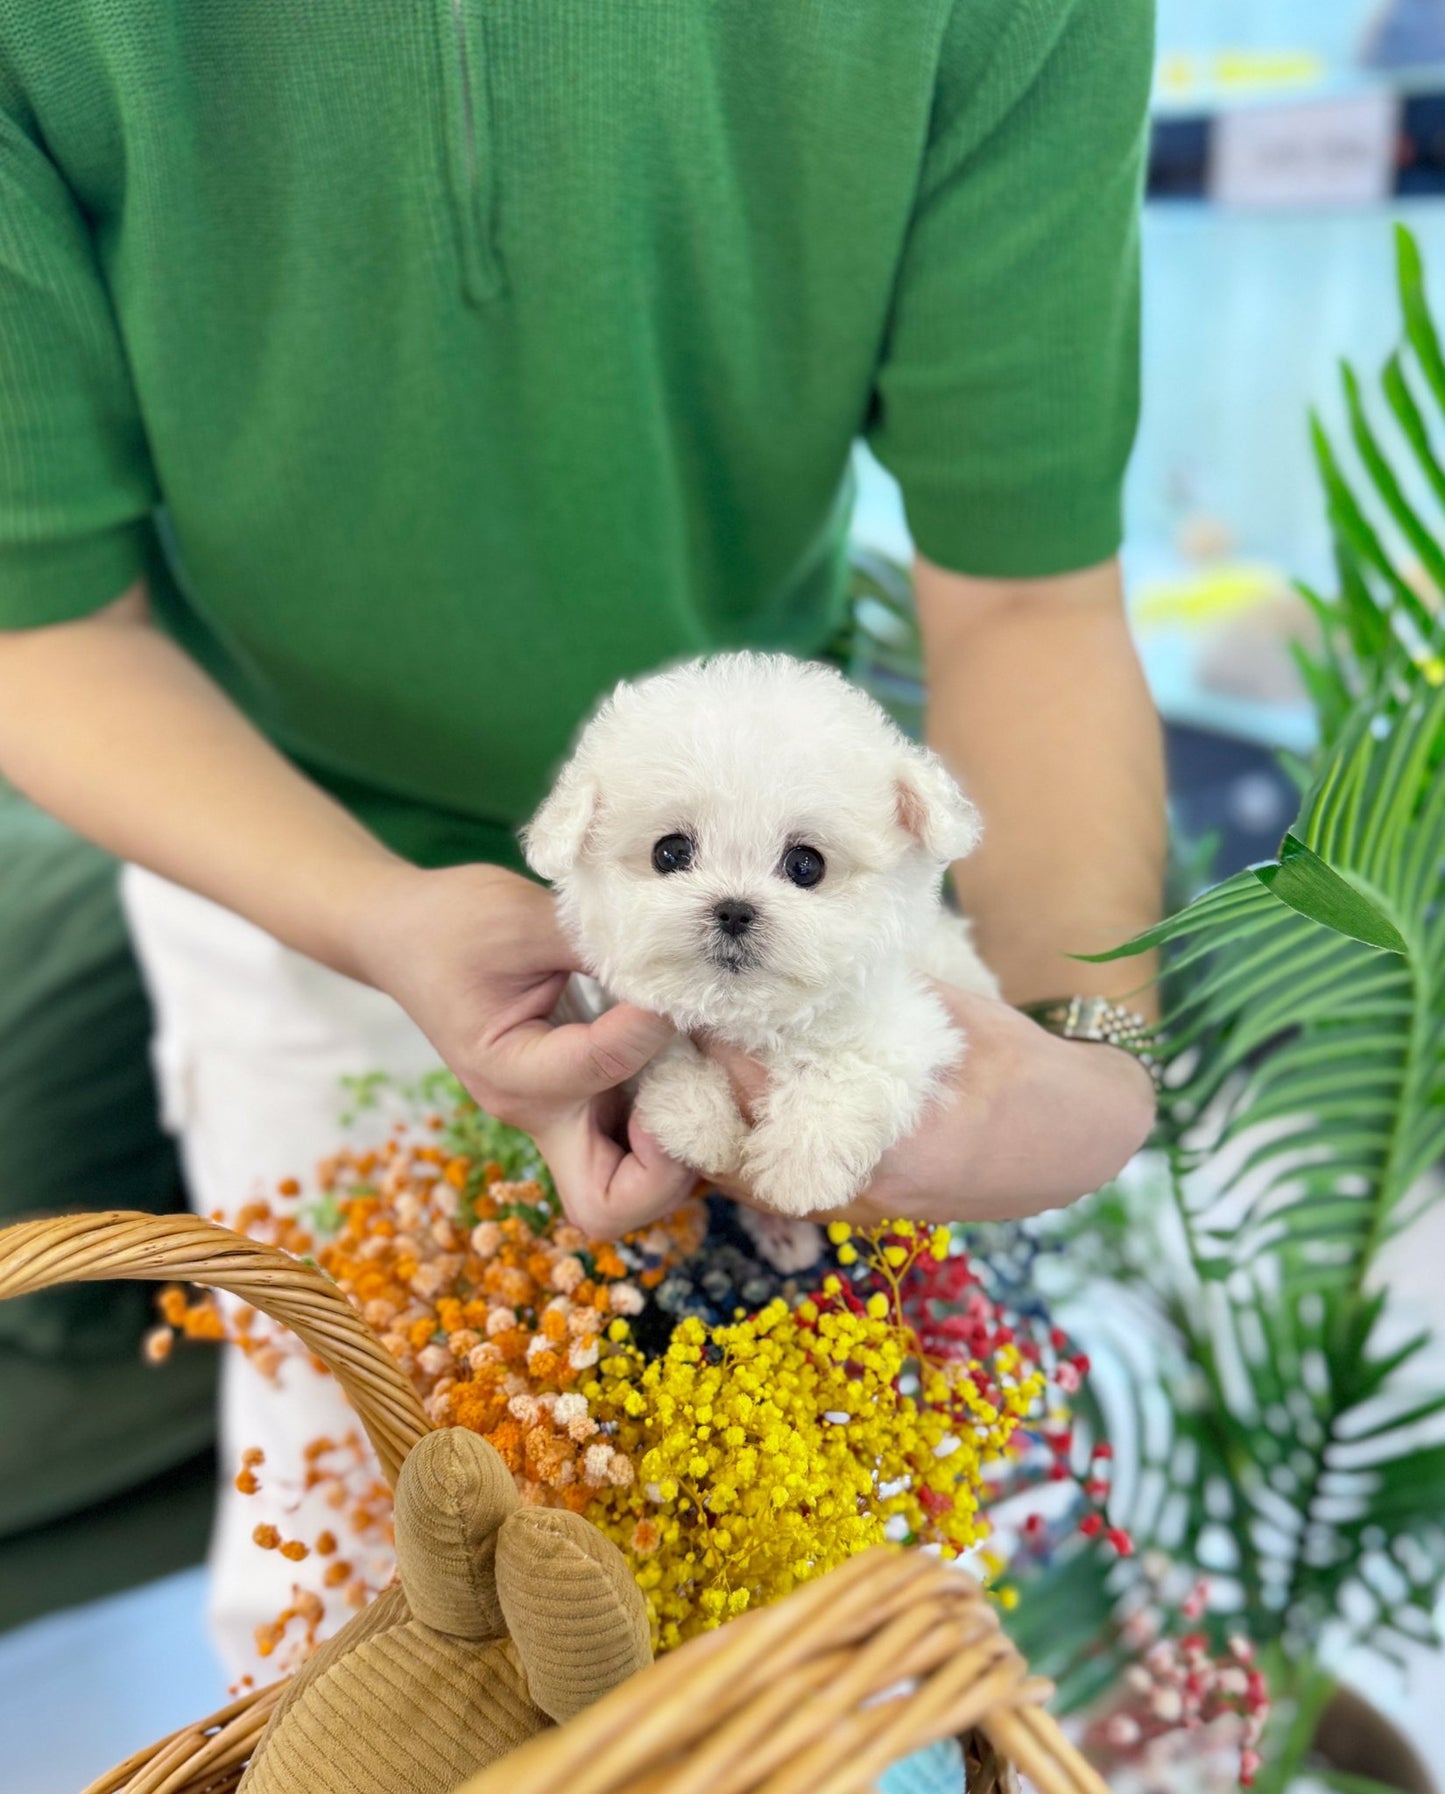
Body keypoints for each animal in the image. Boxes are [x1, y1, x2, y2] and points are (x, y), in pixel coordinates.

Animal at [524, 653, 998, 1212]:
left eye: (805, 865)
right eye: (670, 853)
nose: (733, 911)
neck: (750, 1019)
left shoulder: (912, 1022)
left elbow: (848, 1063)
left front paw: (802, 1164)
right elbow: (664, 1057)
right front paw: (698, 1121)